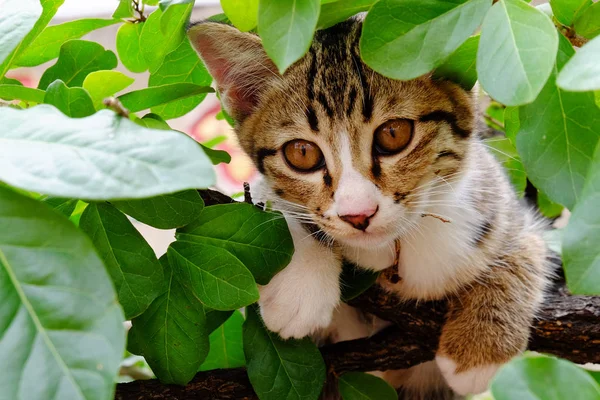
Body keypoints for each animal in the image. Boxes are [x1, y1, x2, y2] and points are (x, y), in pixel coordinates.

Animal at [190, 18, 552, 396]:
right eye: (301, 153)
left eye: (393, 134)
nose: (358, 214)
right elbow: (267, 197)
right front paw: (298, 284)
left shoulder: (499, 201)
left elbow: (527, 247)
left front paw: (479, 350)